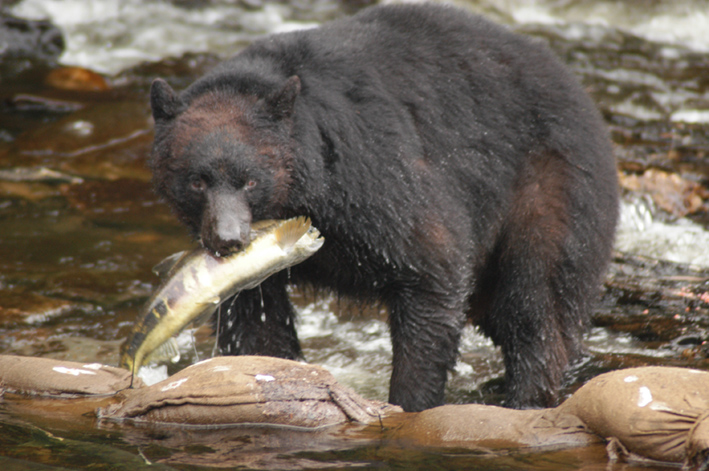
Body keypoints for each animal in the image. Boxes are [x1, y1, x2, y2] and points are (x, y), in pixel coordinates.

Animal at [148, 3, 619, 412]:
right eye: (196, 180)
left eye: (249, 180)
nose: (228, 239)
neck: (310, 190)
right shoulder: (262, 263)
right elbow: (255, 320)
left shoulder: (374, 180)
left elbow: (431, 269)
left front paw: (410, 402)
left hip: (548, 185)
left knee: (536, 297)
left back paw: (525, 396)